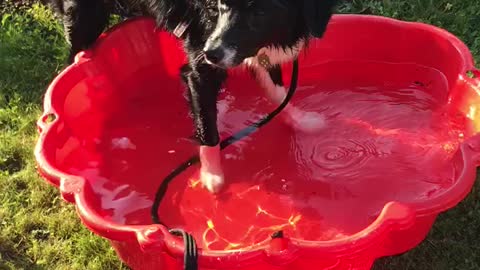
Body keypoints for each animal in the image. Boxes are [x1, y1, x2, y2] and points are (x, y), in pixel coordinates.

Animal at [45, 0, 338, 194]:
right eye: (222, 5)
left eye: (259, 12)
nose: (211, 53)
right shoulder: (199, 69)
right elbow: (208, 129)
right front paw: (211, 175)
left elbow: (277, 89)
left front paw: (301, 119)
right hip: (84, 18)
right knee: (76, 58)